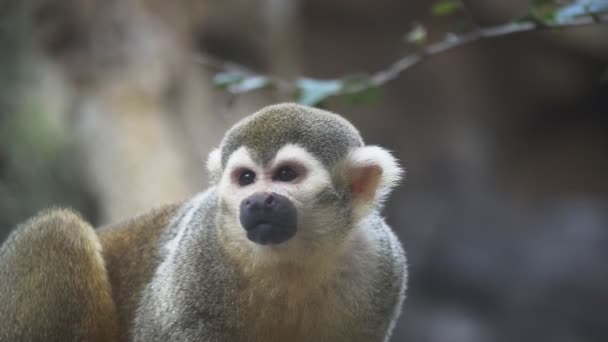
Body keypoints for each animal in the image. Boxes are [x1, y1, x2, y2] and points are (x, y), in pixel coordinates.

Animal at [1, 103, 408, 340]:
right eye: (246, 179)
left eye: (286, 174)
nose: (258, 201)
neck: (292, 258)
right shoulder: (201, 245)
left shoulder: (382, 266)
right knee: (55, 231)